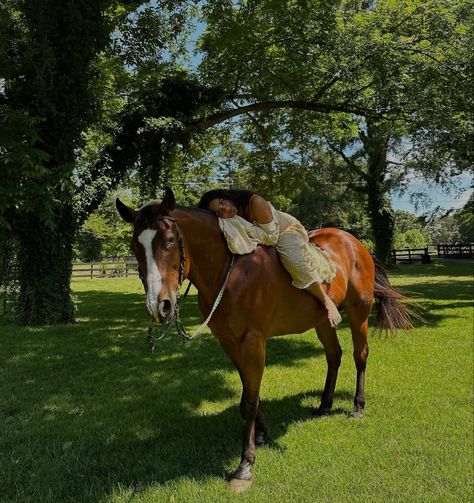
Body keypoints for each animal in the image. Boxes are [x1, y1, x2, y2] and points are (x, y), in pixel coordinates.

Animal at [115, 188, 414, 492]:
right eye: (135, 246)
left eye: (170, 240)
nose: (159, 306)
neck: (231, 270)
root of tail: (356, 244)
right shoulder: (230, 342)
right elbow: (251, 393)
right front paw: (260, 434)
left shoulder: (253, 341)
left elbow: (248, 401)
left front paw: (244, 466)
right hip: (323, 323)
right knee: (334, 355)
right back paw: (324, 404)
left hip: (359, 312)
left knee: (360, 354)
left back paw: (357, 407)